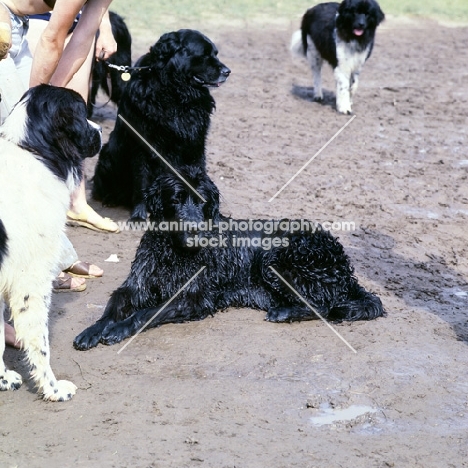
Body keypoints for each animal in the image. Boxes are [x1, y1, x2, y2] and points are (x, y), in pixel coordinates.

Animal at [0, 86, 102, 400]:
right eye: (82, 114)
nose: (101, 130)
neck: (33, 152)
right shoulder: (30, 280)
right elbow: (39, 341)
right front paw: (53, 389)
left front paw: (3, 379)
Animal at [74, 166, 384, 350]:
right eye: (176, 199)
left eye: (202, 202)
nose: (195, 230)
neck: (174, 251)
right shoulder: (135, 285)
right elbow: (112, 306)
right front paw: (92, 331)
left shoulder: (195, 298)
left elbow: (146, 312)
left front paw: (119, 329)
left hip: (274, 257)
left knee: (324, 305)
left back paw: (283, 312)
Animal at [91, 29, 230, 221]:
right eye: (203, 54)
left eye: (215, 53)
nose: (227, 71)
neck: (175, 92)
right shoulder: (142, 145)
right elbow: (141, 182)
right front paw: (139, 215)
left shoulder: (196, 142)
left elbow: (199, 173)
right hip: (108, 153)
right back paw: (110, 198)